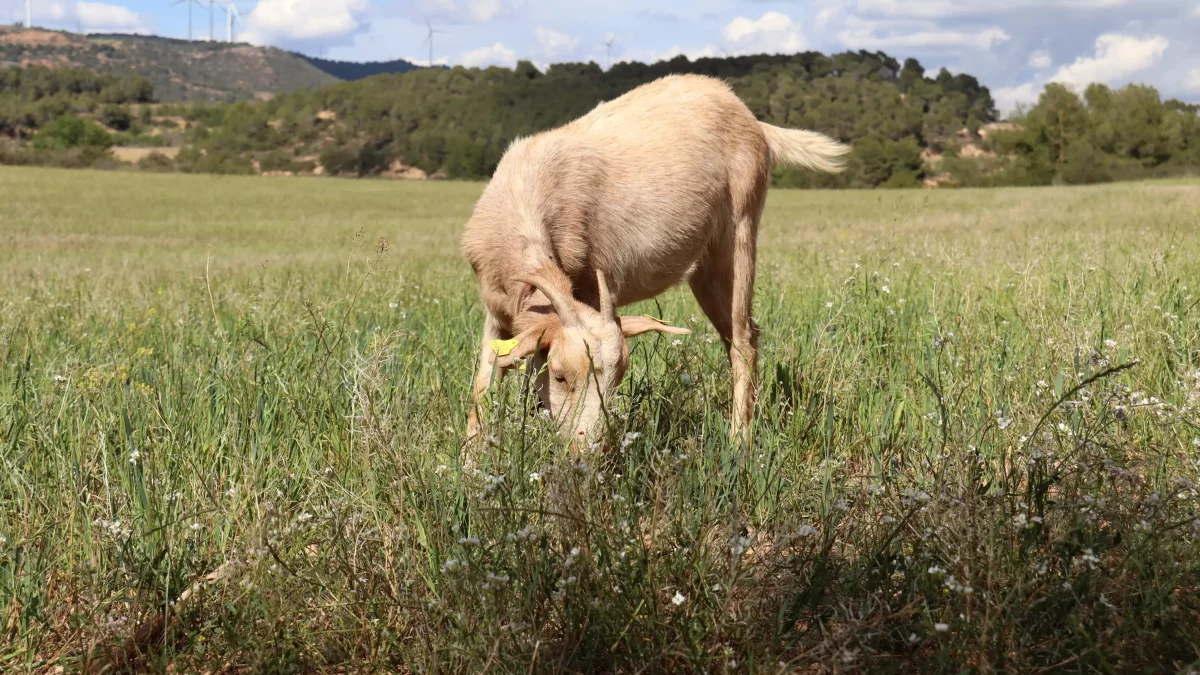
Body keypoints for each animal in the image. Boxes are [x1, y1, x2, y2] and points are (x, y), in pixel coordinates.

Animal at [461, 73, 849, 446]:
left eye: (618, 378)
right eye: (559, 376)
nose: (584, 451)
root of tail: (754, 121)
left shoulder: (589, 285)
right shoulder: (496, 308)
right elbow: (483, 382)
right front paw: (470, 458)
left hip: (739, 231)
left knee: (744, 341)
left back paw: (740, 440)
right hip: (705, 268)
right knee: (735, 336)